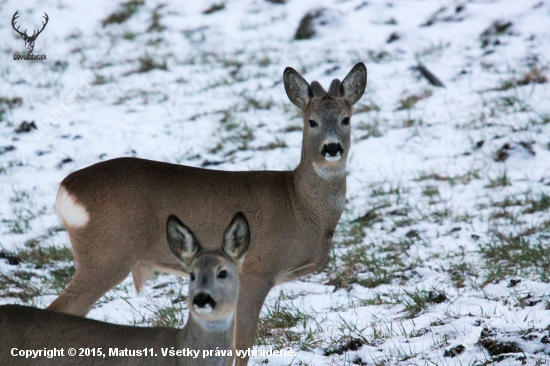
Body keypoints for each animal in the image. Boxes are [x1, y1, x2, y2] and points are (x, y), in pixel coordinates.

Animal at [46, 62, 366, 364]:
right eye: (312, 122)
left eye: (346, 119)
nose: (332, 148)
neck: (299, 205)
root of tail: (64, 189)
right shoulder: (256, 271)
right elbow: (241, 344)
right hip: (106, 255)